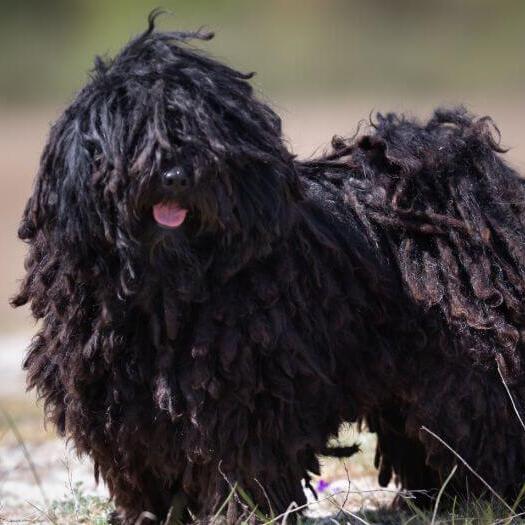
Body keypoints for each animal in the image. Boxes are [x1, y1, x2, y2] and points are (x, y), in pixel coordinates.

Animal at [11, 14, 524, 520]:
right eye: (134, 130)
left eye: (202, 133)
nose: (175, 176)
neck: (167, 293)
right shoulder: (121, 406)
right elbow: (142, 468)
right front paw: (148, 514)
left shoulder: (245, 395)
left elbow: (242, 466)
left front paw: (243, 513)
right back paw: (436, 497)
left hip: (465, 364)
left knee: (482, 420)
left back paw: (488, 497)